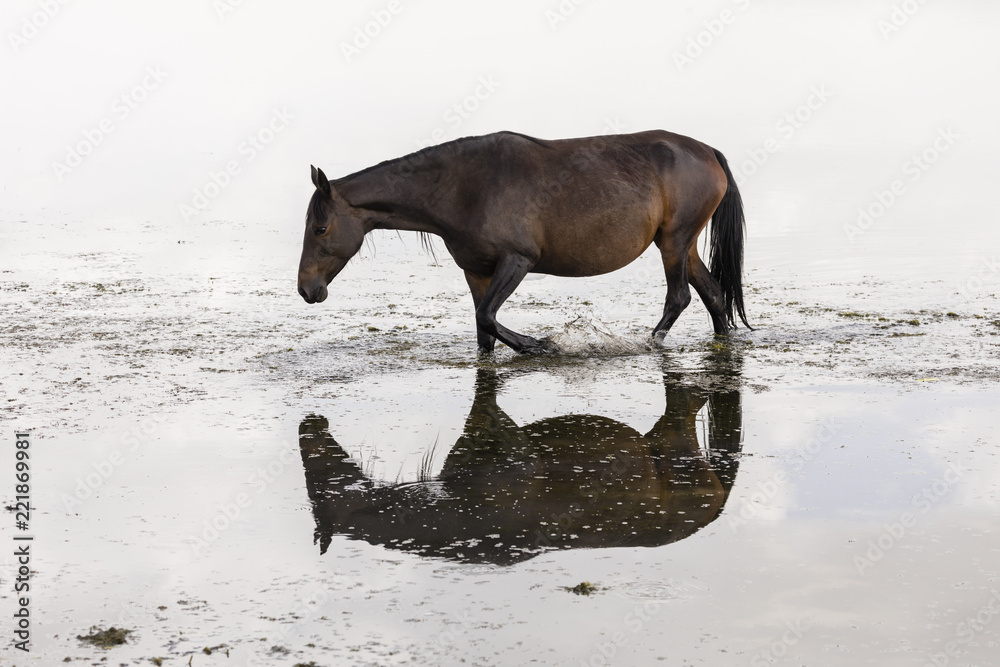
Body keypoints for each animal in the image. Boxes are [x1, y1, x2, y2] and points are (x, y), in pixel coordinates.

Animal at [296, 127, 752, 352]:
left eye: (320, 228)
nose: (306, 289)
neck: (463, 188)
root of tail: (708, 151)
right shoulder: (477, 272)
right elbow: (482, 329)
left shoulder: (517, 260)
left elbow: (487, 317)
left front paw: (540, 345)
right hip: (681, 244)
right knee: (714, 295)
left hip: (673, 242)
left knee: (680, 298)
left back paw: (646, 344)